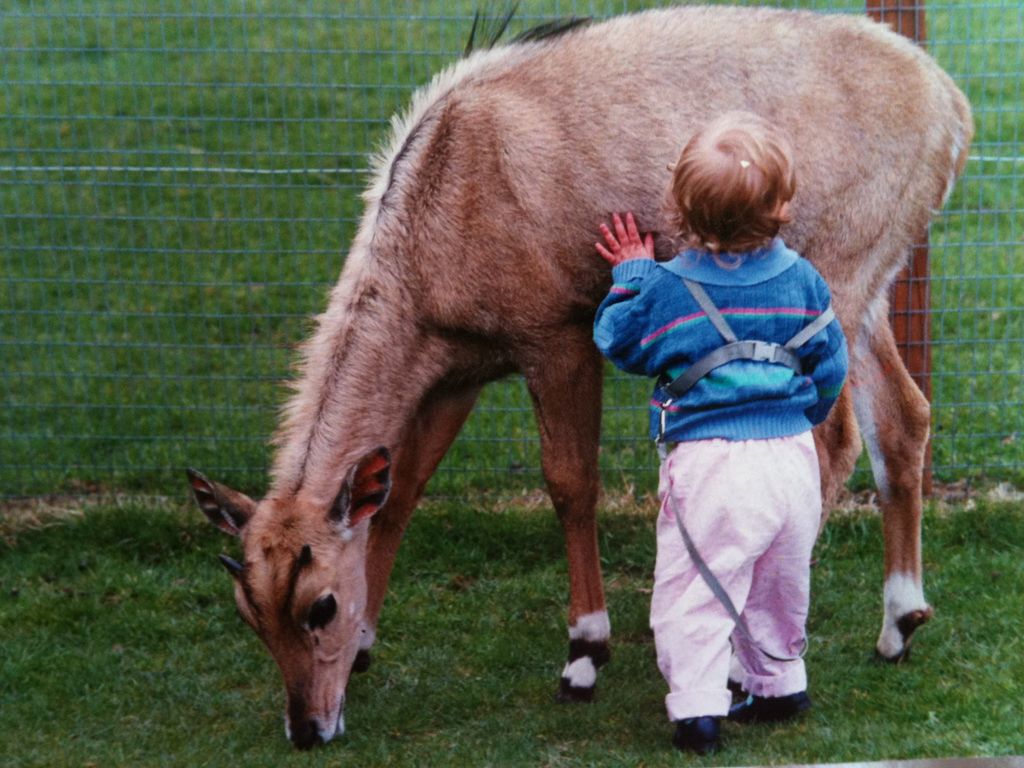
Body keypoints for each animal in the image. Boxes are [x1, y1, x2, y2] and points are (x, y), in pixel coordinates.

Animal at [186, 4, 974, 753]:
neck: (440, 204)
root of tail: (952, 109)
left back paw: (742, 655)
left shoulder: (558, 337)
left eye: (319, 604)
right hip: (869, 293)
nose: (309, 727)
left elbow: (569, 482)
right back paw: (900, 624)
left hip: (827, 284)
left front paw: (584, 654)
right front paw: (369, 645)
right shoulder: (455, 370)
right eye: (249, 611)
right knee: (903, 418)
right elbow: (403, 489)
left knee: (830, 441)